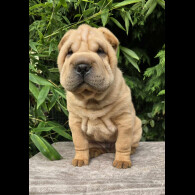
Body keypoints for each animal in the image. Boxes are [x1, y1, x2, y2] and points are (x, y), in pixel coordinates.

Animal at [57, 23, 142, 168]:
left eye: (100, 51)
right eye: (69, 52)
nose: (82, 66)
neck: (91, 98)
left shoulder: (124, 121)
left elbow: (123, 143)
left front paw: (122, 161)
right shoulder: (75, 122)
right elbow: (80, 143)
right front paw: (80, 159)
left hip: (137, 126)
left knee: (129, 143)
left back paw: (131, 151)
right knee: (93, 145)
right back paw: (93, 150)